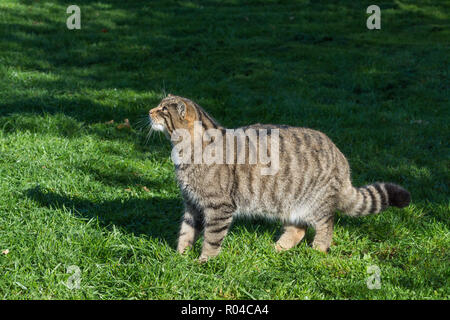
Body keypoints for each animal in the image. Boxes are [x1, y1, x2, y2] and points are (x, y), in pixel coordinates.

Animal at [149, 94, 412, 262]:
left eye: (163, 110)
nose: (149, 111)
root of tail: (340, 157)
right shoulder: (192, 204)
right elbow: (186, 232)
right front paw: (180, 256)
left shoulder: (218, 207)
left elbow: (212, 238)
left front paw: (204, 262)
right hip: (288, 204)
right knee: (298, 230)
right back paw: (277, 248)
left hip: (316, 204)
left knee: (326, 224)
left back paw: (317, 250)